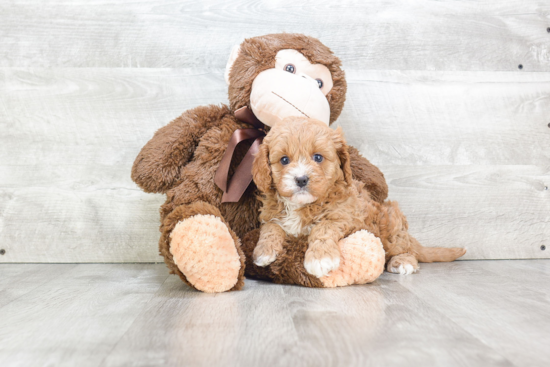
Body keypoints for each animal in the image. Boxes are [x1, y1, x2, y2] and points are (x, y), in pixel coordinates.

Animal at [252, 118, 468, 278]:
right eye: (284, 160)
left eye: (318, 157)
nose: (301, 179)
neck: (301, 206)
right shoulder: (271, 215)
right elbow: (271, 227)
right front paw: (263, 251)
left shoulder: (343, 216)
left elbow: (323, 228)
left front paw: (320, 258)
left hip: (391, 224)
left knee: (406, 249)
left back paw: (402, 262)